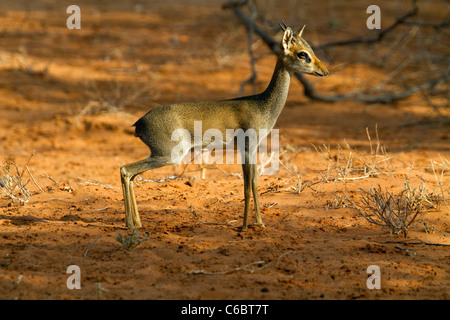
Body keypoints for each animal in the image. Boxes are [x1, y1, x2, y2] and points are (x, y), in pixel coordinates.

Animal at [121, 22, 328, 231]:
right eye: (302, 54)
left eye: (310, 48)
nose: (325, 71)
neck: (262, 104)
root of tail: (139, 122)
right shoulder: (247, 148)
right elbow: (247, 187)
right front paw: (244, 226)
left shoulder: (251, 149)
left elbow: (254, 183)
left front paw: (259, 223)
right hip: (168, 155)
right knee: (125, 170)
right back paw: (130, 224)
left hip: (159, 155)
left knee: (132, 176)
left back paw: (137, 223)